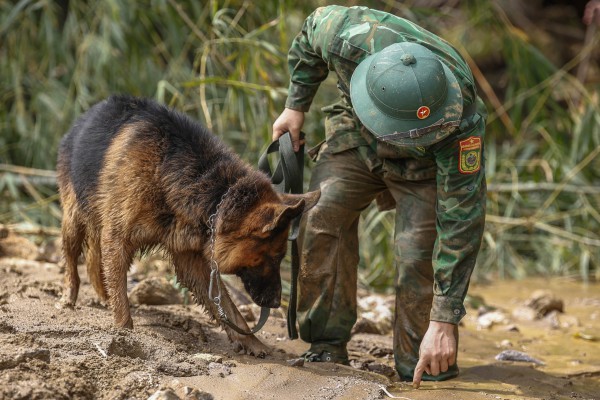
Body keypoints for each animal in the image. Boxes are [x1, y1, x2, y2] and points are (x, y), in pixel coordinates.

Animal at [55, 95, 318, 354]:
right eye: (273, 258)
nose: (275, 303)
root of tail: (90, 112)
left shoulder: (191, 259)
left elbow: (227, 307)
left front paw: (251, 341)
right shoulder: (117, 239)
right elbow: (120, 294)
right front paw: (124, 332)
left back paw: (102, 295)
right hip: (73, 221)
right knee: (72, 261)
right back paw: (69, 297)